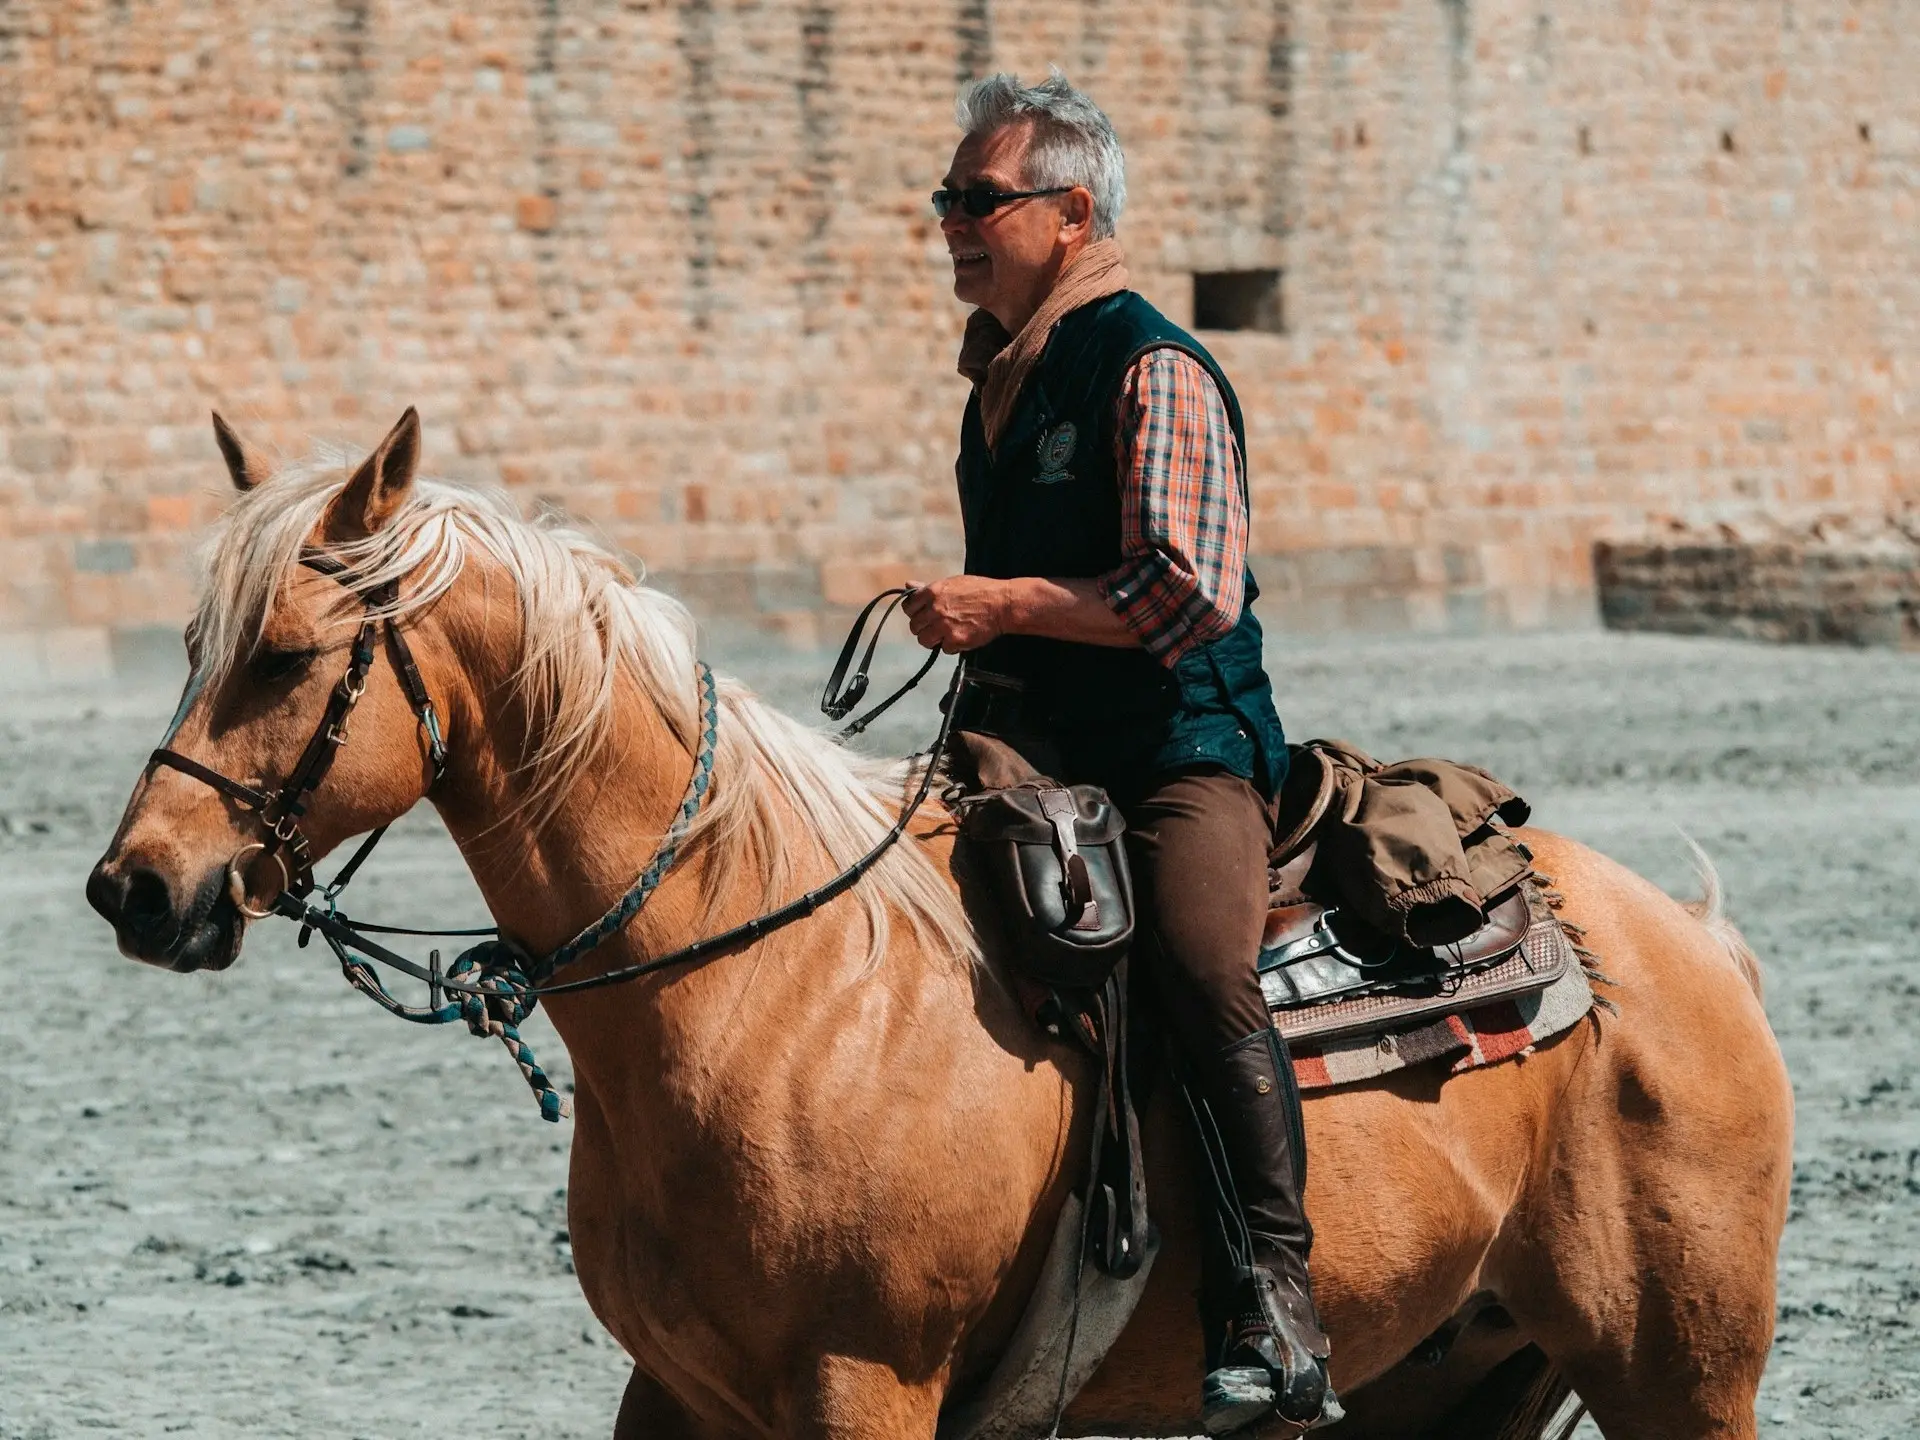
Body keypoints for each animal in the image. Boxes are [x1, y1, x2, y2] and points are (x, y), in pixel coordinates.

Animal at [93, 410, 1797, 1436]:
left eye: (289, 653)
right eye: (190, 643)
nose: (139, 887)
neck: (765, 993)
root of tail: (1684, 945)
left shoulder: (867, 1387)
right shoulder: (680, 1393)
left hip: (1679, 1374)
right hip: (1456, 1374)